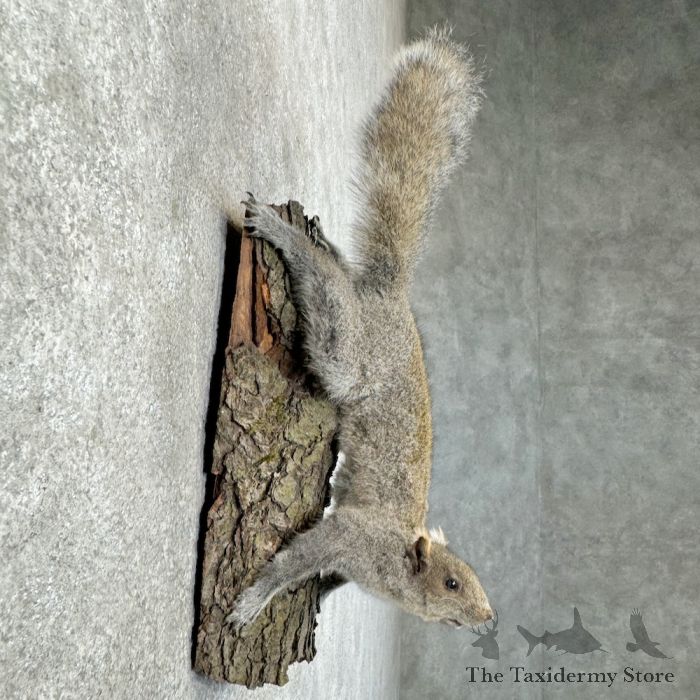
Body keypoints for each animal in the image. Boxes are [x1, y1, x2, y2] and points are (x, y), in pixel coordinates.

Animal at [227, 29, 493, 631]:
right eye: (451, 581)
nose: (488, 617)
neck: (393, 570)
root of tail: (390, 297)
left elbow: (326, 579)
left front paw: (319, 599)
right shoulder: (353, 537)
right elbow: (297, 559)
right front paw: (255, 601)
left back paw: (326, 244)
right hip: (351, 352)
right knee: (327, 299)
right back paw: (286, 235)